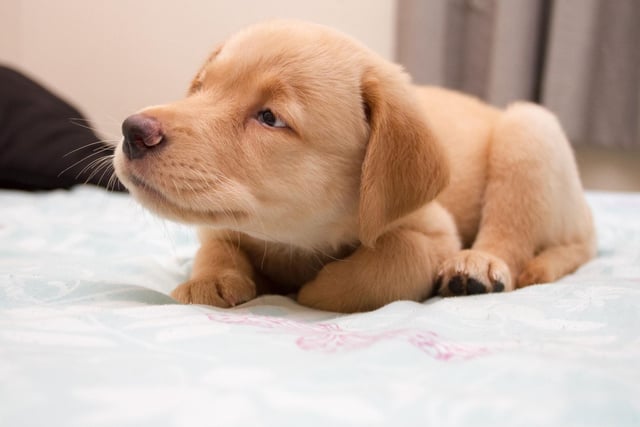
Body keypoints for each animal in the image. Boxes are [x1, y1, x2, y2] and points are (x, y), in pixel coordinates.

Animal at [114, 20, 596, 312]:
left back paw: (476, 266)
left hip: (529, 131)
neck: (295, 241)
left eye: (270, 118)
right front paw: (212, 281)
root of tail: (587, 224)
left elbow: (392, 260)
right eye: (199, 88)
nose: (132, 130)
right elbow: (216, 246)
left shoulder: (433, 231)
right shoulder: (221, 225)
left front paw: (310, 289)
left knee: (512, 237)